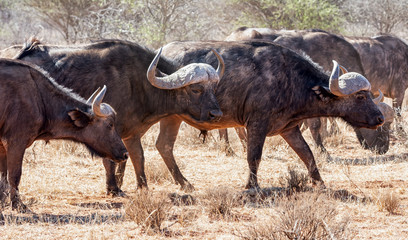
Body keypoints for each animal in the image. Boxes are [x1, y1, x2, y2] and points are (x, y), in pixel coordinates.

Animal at [0, 38, 225, 195]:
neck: (139, 83)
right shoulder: (107, 130)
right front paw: (113, 188)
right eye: (196, 89)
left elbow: (136, 158)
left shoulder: (131, 134)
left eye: (213, 88)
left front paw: (141, 187)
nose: (216, 114)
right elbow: (111, 161)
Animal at [0, 59, 127, 211]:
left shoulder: (2, 147)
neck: (40, 98)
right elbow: (14, 175)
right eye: (110, 124)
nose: (125, 154)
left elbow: (3, 177)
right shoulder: (16, 143)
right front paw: (18, 205)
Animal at [148, 41, 384, 190]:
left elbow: (307, 154)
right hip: (171, 117)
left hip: (172, 118)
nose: (380, 118)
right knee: (164, 145)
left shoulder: (288, 128)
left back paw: (183, 183)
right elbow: (254, 156)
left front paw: (319, 182)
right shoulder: (256, 124)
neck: (290, 80)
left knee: (164, 145)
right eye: (361, 96)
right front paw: (252, 185)